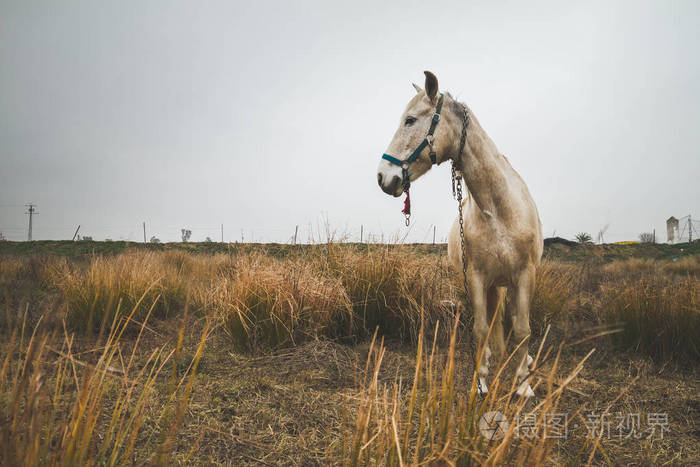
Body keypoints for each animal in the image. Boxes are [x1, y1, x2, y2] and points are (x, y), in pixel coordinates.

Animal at [374, 70, 544, 398]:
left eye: (410, 120)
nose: (383, 177)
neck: (499, 211)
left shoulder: (525, 275)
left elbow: (522, 329)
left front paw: (523, 385)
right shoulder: (475, 277)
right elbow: (481, 329)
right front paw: (481, 381)